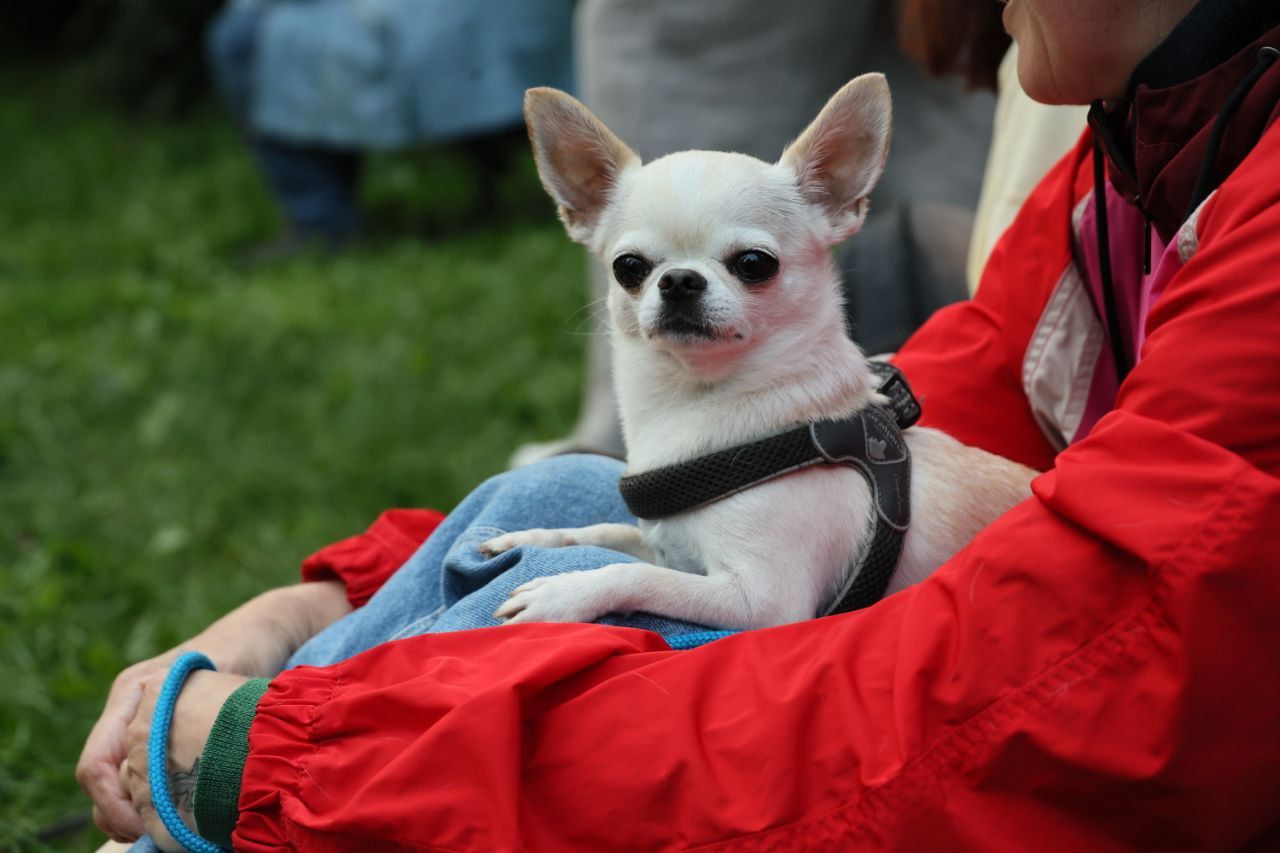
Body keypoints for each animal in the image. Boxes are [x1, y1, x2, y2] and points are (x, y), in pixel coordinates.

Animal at [480, 75, 1036, 630]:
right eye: (629, 267)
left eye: (753, 263)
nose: (679, 279)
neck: (694, 406)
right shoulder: (671, 549)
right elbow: (611, 533)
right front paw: (537, 537)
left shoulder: (763, 601)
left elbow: (637, 574)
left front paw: (564, 592)